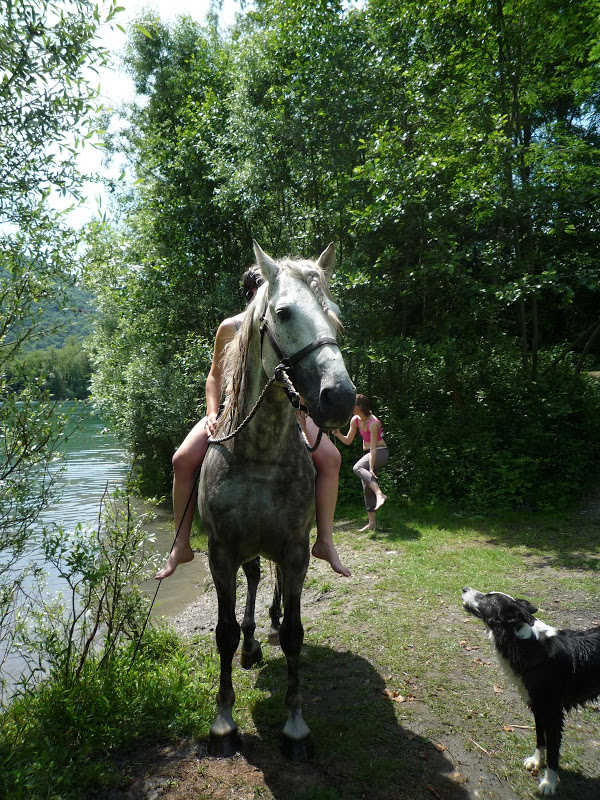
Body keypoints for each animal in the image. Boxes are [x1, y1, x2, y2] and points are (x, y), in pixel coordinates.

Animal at [199, 241, 356, 760]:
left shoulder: (292, 549)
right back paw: (252, 642)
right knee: (252, 581)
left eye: (335, 317)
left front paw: (295, 727)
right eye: (284, 312)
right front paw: (223, 722)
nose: (340, 397)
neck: (261, 452)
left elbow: (294, 635)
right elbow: (225, 632)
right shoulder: (221, 551)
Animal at [462, 584, 596, 796]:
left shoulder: (552, 713)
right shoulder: (536, 706)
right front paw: (536, 761)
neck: (527, 645)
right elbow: (540, 738)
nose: (464, 588)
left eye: (487, 598)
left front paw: (549, 782)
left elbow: (553, 751)